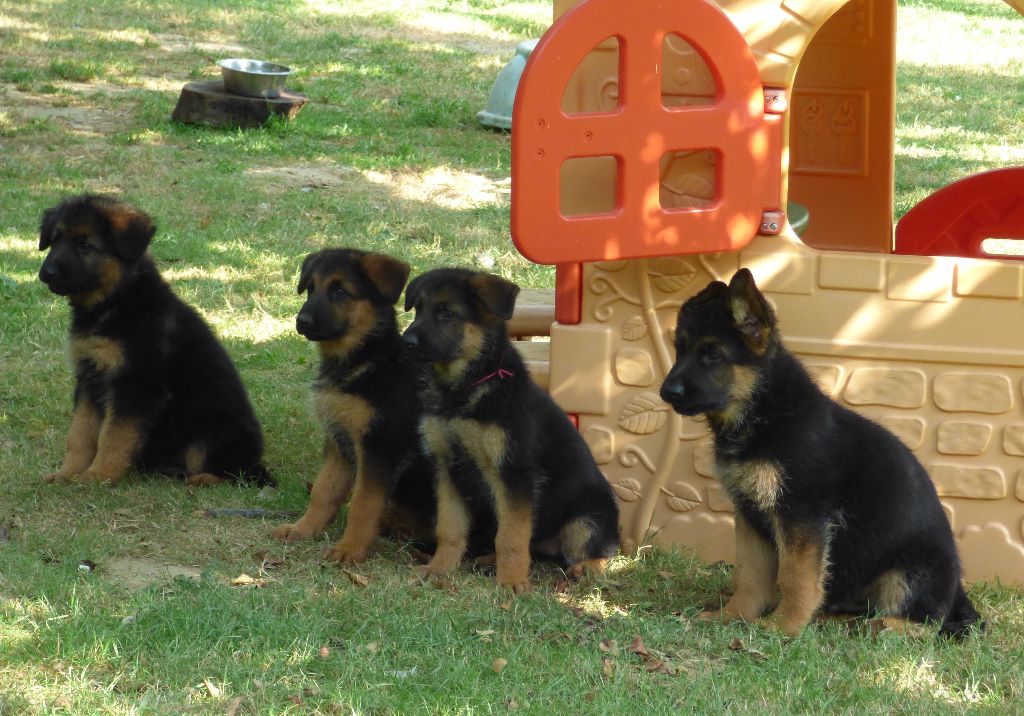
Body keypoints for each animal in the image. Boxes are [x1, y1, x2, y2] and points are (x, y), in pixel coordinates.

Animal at [38, 194, 270, 487]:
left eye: (86, 245)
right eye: (55, 241)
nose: (47, 272)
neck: (117, 301)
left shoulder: (136, 385)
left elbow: (112, 437)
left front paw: (97, 477)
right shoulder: (89, 378)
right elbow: (79, 434)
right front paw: (67, 474)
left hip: (212, 429)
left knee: (238, 472)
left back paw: (201, 479)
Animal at [270, 248, 434, 561]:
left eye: (339, 291)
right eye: (311, 288)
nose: (302, 321)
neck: (363, 360)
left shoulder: (378, 450)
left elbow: (362, 504)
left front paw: (350, 549)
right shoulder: (338, 442)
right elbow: (323, 492)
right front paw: (303, 530)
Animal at [403, 266, 618, 590]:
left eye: (446, 312)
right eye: (417, 309)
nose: (406, 341)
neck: (465, 388)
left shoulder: (513, 472)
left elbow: (511, 535)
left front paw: (512, 581)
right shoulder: (446, 467)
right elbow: (450, 528)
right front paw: (440, 568)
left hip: (588, 517)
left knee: (594, 550)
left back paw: (585, 568)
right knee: (535, 548)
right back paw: (488, 561)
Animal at [659, 268, 978, 639]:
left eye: (712, 354)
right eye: (679, 350)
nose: (666, 392)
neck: (764, 411)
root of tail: (958, 596)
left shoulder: (801, 515)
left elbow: (795, 576)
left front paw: (783, 627)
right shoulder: (750, 514)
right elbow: (750, 574)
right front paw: (734, 616)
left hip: (913, 570)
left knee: (928, 622)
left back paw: (881, 625)